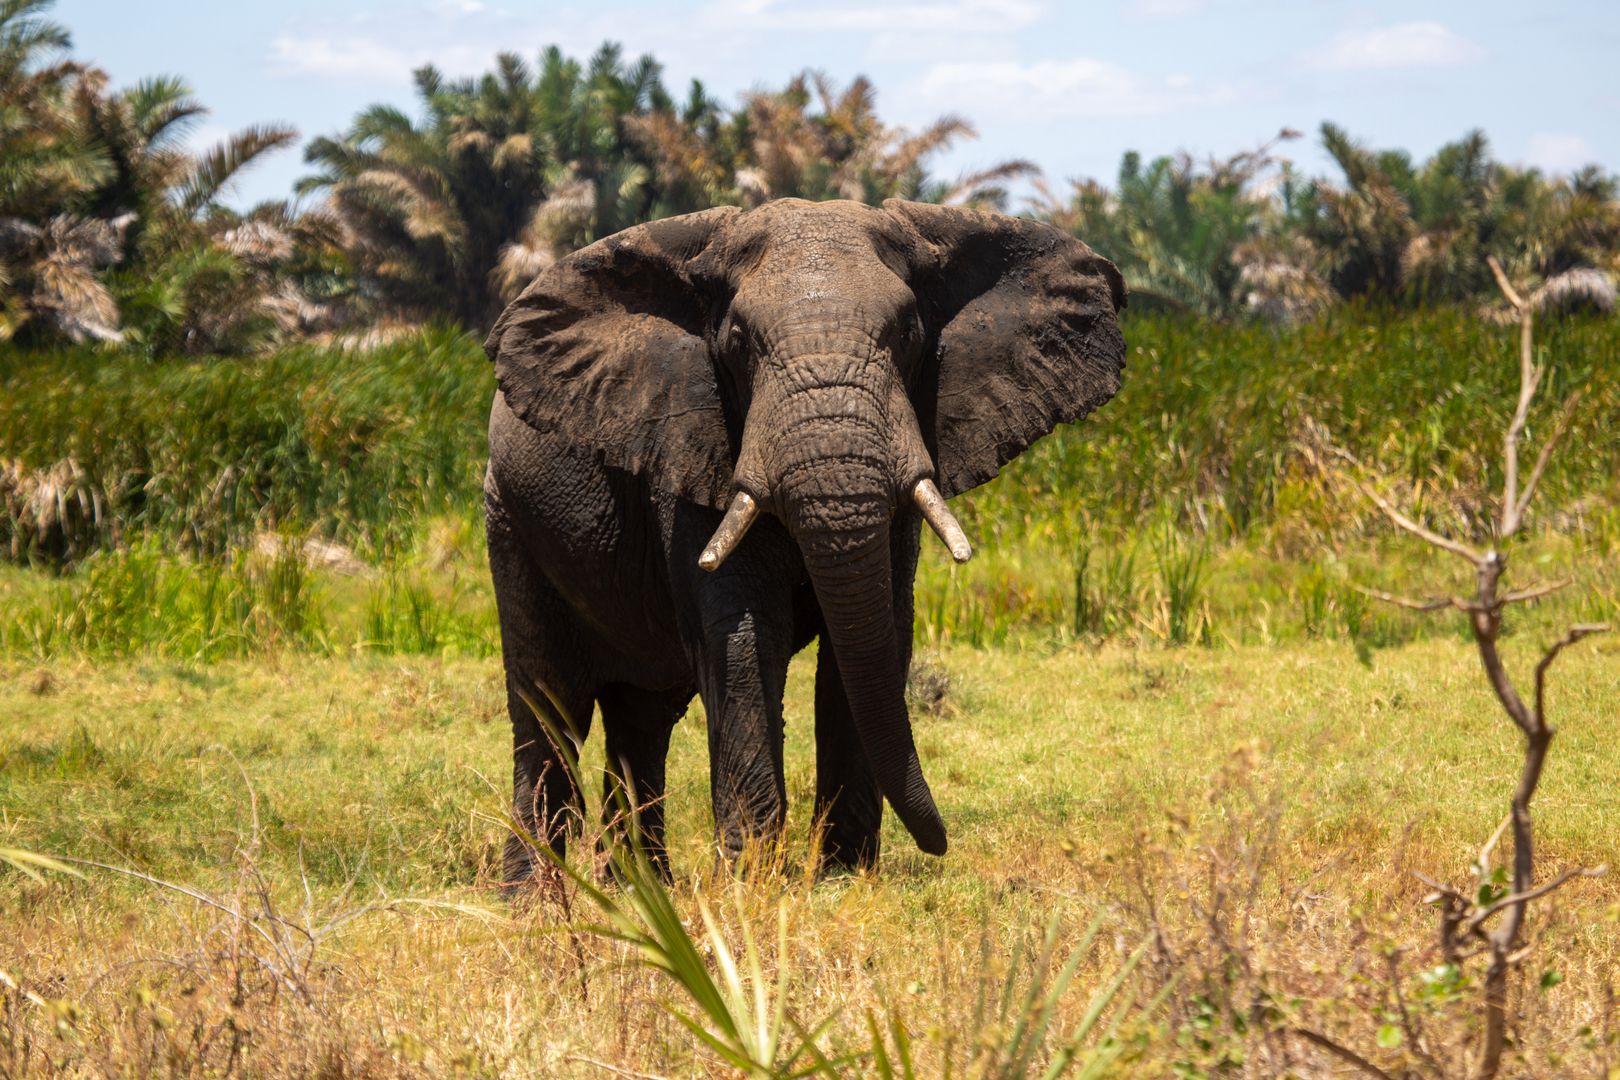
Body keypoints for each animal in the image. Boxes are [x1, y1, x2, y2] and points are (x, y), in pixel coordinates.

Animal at [476, 198, 1127, 880]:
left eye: (909, 334)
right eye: (737, 342)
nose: (941, 841)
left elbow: (872, 638)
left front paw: (843, 879)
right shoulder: (689, 448)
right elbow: (742, 634)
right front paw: (751, 886)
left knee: (641, 721)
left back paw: (639, 891)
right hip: (509, 520)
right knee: (549, 711)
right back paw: (538, 900)